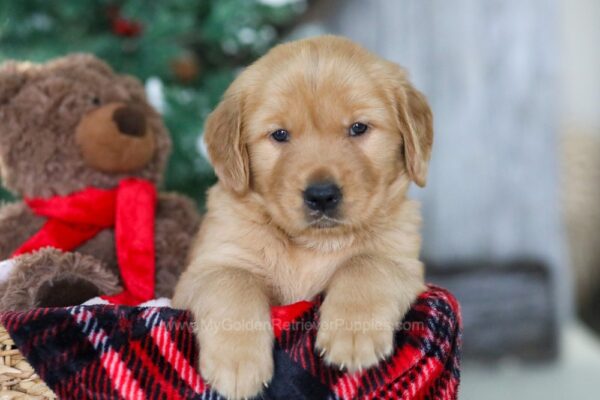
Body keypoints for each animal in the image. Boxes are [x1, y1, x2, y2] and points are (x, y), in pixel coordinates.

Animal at [173, 36, 432, 398]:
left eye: (358, 128)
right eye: (280, 134)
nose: (321, 195)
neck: (312, 244)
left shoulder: (403, 260)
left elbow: (366, 262)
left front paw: (353, 333)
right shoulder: (204, 268)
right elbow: (233, 279)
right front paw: (236, 361)